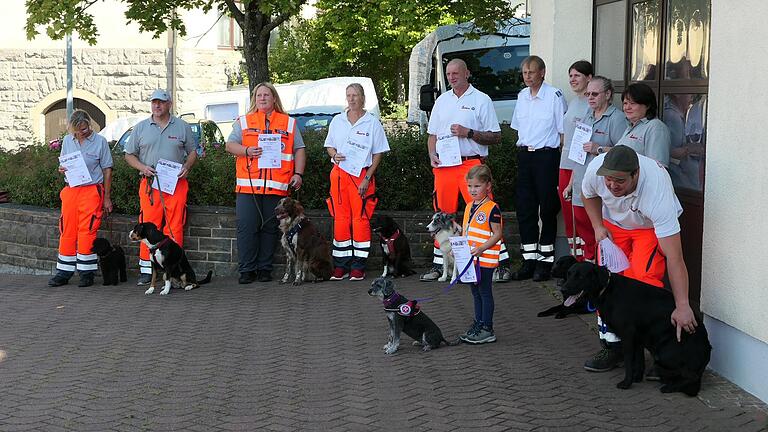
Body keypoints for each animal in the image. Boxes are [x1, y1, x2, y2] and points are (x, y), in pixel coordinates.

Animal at [560, 262, 712, 396]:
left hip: (664, 352)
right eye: (568, 274)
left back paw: (670, 387)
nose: (563, 289)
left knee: (692, 376)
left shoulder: (627, 335)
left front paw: (627, 383)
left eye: (580, 277)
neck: (607, 290)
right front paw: (637, 378)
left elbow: (629, 362)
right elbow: (639, 360)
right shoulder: (637, 337)